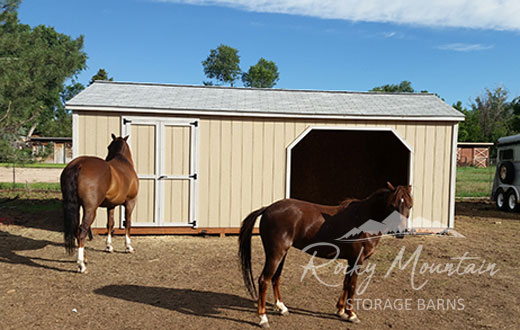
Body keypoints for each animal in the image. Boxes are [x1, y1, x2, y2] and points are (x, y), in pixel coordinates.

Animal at [61, 134, 139, 274]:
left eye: (108, 147)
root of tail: (78, 165)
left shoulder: (111, 205)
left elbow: (110, 224)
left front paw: (109, 247)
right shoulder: (130, 202)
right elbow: (128, 223)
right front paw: (128, 247)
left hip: (76, 207)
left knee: (76, 230)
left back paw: (85, 259)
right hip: (90, 209)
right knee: (82, 230)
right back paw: (81, 265)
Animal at [240, 183, 414, 328]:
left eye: (410, 205)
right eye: (392, 205)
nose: (401, 232)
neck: (364, 219)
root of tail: (268, 208)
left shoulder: (351, 260)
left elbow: (345, 283)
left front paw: (341, 311)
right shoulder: (357, 260)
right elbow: (352, 286)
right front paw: (351, 314)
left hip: (282, 253)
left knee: (276, 278)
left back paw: (282, 308)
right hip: (275, 254)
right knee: (264, 280)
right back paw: (263, 318)